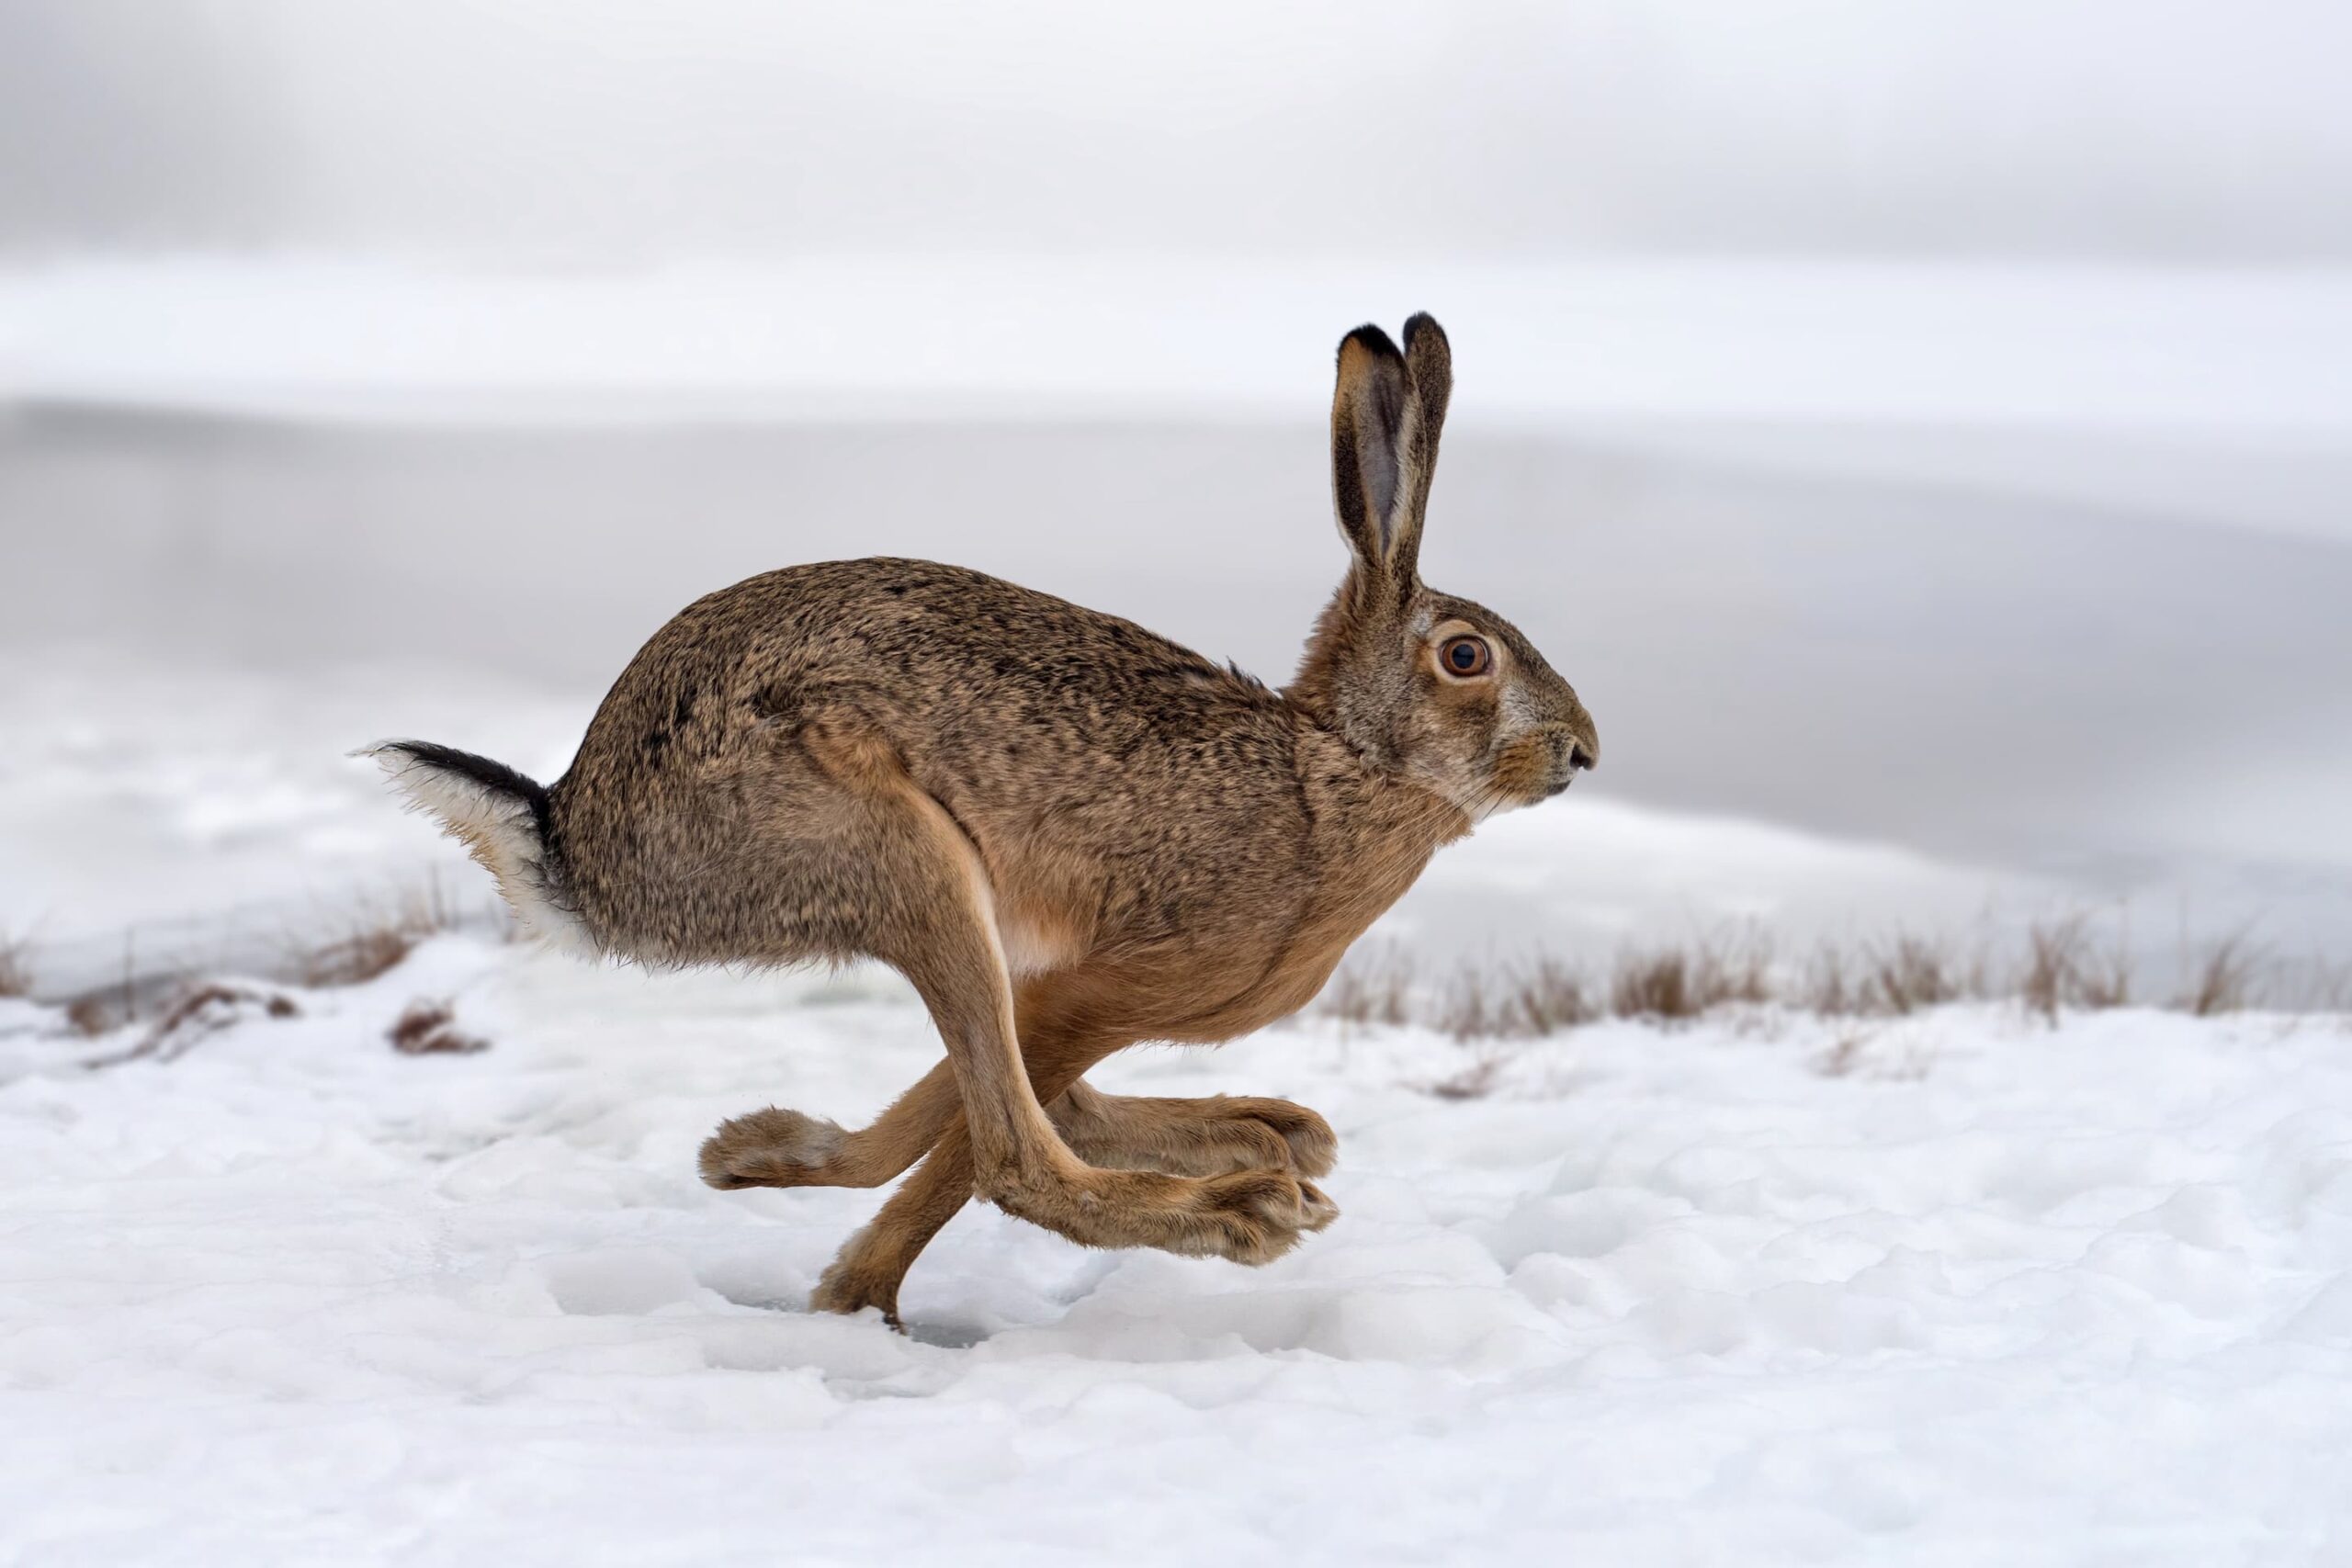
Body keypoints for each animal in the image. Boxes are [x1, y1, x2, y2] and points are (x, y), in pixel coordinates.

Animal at [359, 314, 1597, 1326]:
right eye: (1467, 658)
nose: (1583, 753)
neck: (1331, 769)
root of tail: (577, 845)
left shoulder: (1059, 986)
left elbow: (950, 1119)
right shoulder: (1105, 984)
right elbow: (971, 1149)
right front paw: (850, 1293)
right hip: (901, 856)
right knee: (1014, 1155)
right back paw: (1241, 1202)